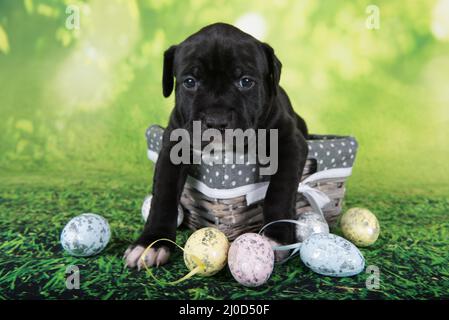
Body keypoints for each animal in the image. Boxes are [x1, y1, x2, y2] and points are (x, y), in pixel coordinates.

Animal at [125, 21, 308, 268]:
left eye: (246, 82)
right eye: (190, 82)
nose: (216, 119)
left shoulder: (290, 142)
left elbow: (280, 190)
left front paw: (274, 238)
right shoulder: (172, 148)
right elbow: (163, 194)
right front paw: (151, 243)